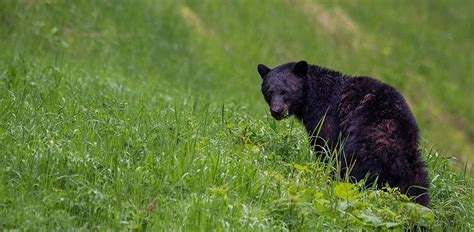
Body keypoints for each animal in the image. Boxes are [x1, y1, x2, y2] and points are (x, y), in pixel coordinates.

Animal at [258, 60, 432, 206]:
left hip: (364, 146)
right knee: (418, 186)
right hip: (414, 164)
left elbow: (326, 147)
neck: (313, 97)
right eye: (269, 91)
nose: (277, 111)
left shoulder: (328, 117)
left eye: (285, 92)